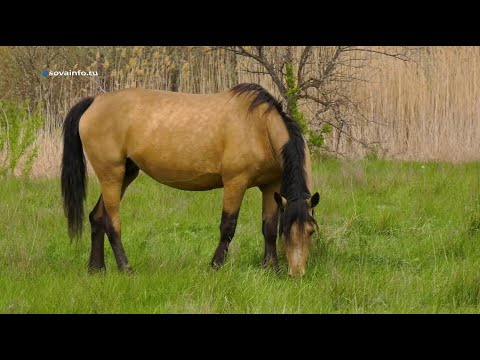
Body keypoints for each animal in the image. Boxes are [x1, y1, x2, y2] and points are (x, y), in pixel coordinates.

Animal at [62, 83, 320, 278]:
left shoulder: (270, 186)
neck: (259, 127)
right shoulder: (235, 182)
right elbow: (228, 227)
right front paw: (214, 266)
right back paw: (126, 268)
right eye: (288, 231)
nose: (297, 274)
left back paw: (96, 269)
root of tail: (95, 101)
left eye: (310, 231)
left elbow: (268, 229)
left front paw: (271, 269)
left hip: (126, 173)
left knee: (97, 217)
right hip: (111, 174)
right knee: (111, 222)